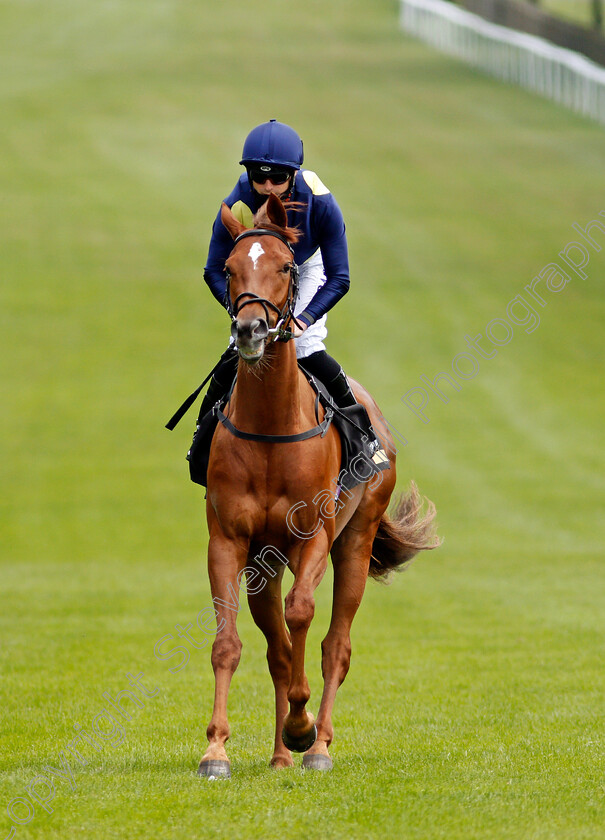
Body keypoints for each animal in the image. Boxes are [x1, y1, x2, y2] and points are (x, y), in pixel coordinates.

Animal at [198, 194, 438, 776]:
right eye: (229, 269)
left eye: (286, 267)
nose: (250, 330)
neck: (271, 428)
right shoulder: (229, 541)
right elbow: (231, 643)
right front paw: (216, 749)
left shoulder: (314, 536)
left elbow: (303, 614)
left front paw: (303, 725)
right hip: (264, 564)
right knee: (278, 649)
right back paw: (282, 753)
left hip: (355, 539)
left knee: (336, 644)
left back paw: (317, 744)